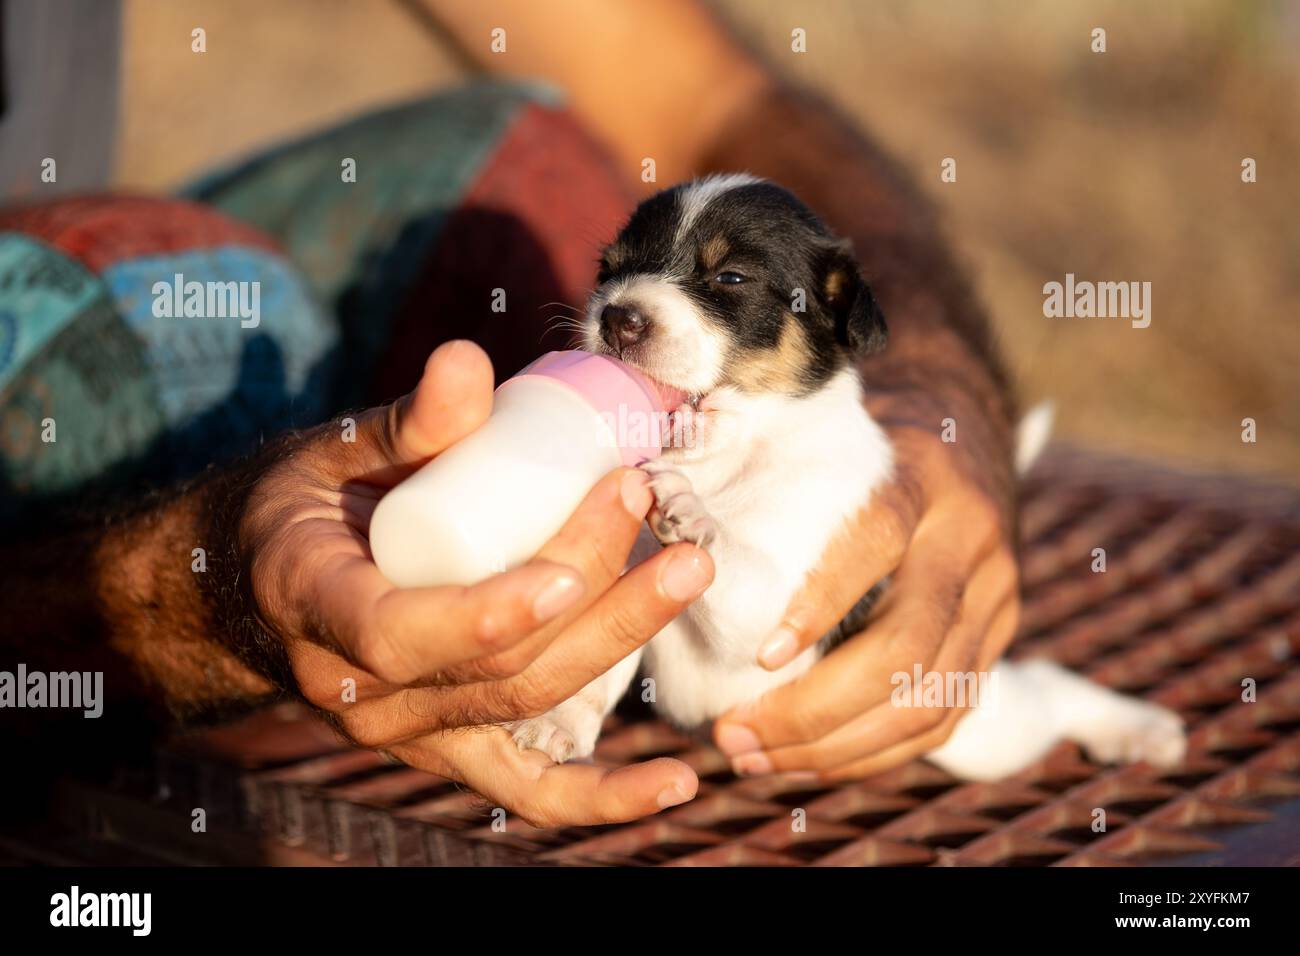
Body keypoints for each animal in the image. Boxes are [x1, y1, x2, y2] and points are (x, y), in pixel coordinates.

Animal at [509, 175, 1190, 780]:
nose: (616, 317)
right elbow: (596, 671)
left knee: (1048, 688)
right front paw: (557, 721)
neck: (727, 457)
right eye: (607, 270)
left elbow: (737, 563)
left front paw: (689, 509)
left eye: (731, 277)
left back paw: (1138, 728)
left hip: (982, 732)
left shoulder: (786, 607)